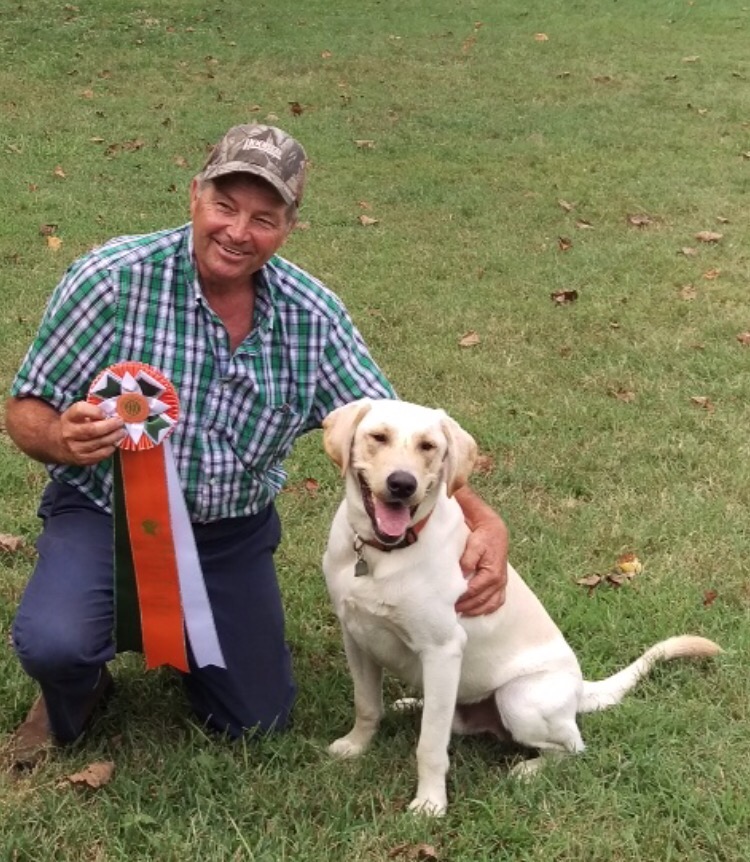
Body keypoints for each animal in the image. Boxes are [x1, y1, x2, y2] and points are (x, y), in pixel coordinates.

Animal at [322, 398, 721, 817]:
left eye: (428, 446)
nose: (403, 484)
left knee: (573, 746)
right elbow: (367, 704)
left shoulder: (442, 650)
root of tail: (579, 689)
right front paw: (355, 746)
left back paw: (529, 770)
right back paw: (412, 703)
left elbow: (429, 745)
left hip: (519, 699)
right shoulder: (356, 635)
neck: (380, 555)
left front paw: (430, 803)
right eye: (378, 437)